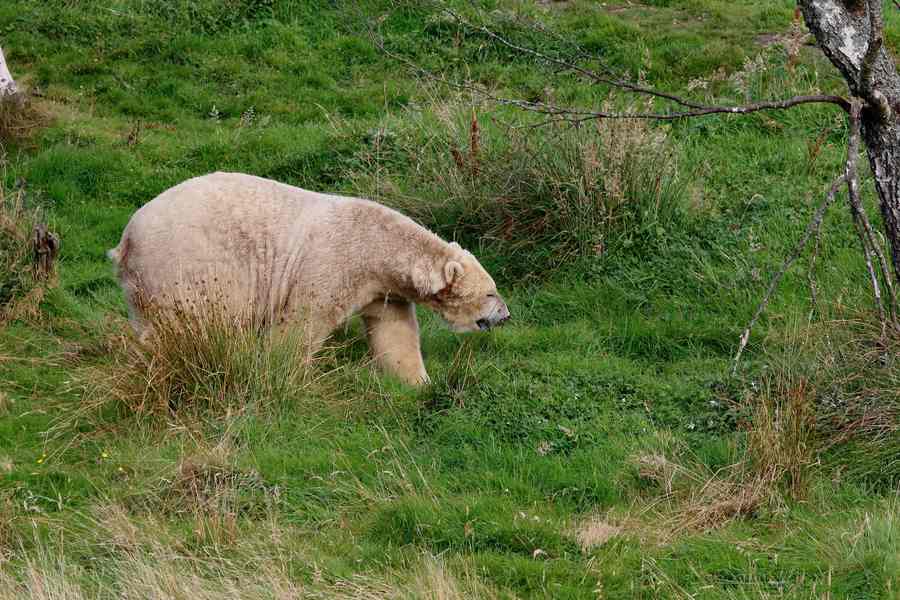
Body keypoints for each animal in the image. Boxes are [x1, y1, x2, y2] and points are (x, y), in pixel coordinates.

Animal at [109, 170, 510, 384]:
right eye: (491, 293)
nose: (506, 316)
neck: (378, 245)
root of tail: (127, 238)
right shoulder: (335, 263)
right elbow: (305, 320)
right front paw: (283, 370)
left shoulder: (383, 290)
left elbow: (396, 334)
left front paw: (418, 382)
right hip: (185, 264)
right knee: (185, 323)